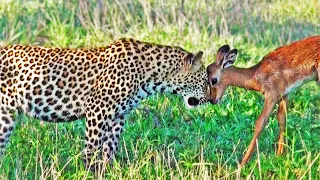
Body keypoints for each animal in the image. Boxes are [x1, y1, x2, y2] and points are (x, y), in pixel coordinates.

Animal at [0, 38, 211, 172]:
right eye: (205, 81)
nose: (210, 99)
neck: (153, 77)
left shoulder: (118, 116)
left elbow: (110, 145)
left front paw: (108, 169)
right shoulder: (98, 109)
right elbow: (92, 145)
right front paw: (88, 170)